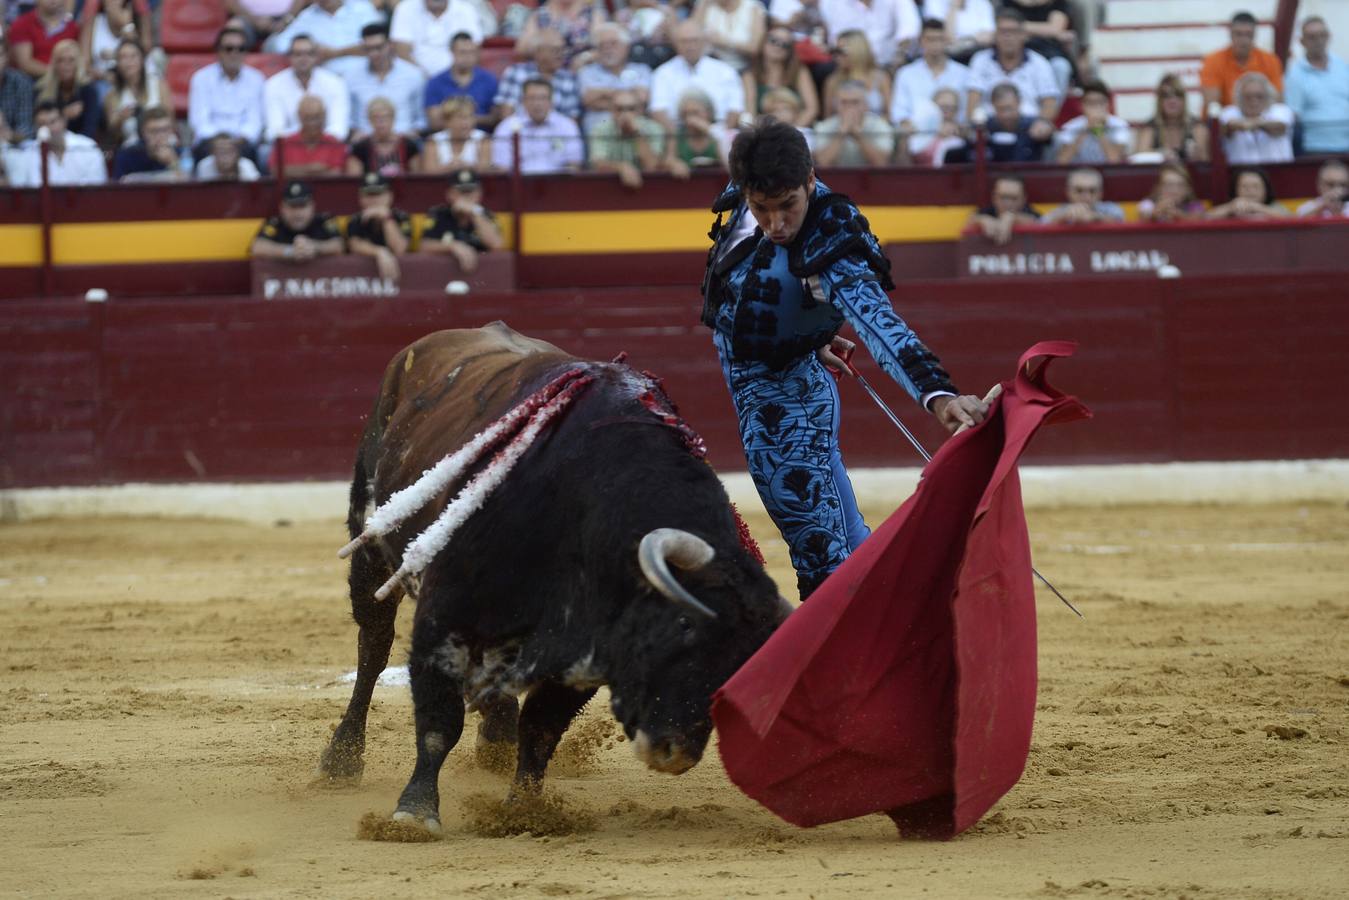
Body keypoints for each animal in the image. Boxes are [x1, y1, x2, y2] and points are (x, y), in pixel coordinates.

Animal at [317, 322, 787, 831]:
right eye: (683, 626)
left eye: (743, 661)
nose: (675, 751)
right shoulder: (442, 620)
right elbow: (440, 719)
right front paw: (414, 811)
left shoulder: (583, 653)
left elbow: (541, 728)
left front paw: (523, 809)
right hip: (370, 545)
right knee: (374, 647)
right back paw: (341, 759)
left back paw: (495, 739)